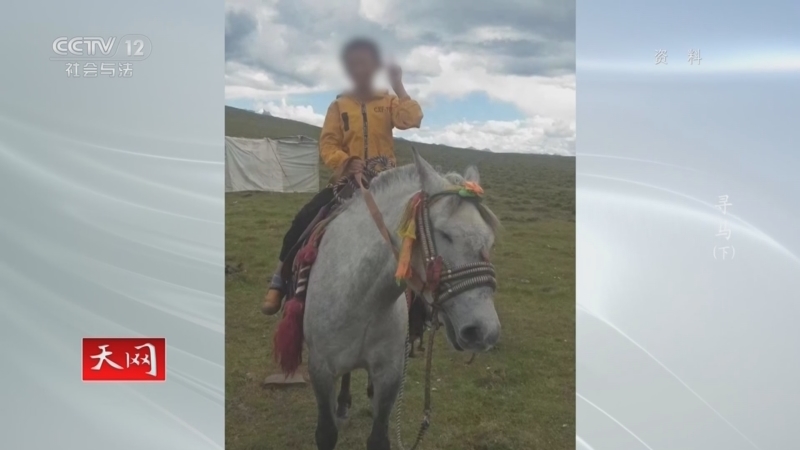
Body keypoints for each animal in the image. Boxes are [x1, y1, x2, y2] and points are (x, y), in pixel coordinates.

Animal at [280, 150, 501, 450]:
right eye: (445, 234)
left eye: (489, 240)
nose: (485, 331)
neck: (361, 299)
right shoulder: (321, 370)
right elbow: (325, 433)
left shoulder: (390, 374)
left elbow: (379, 437)